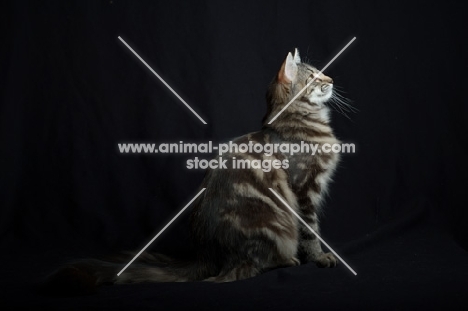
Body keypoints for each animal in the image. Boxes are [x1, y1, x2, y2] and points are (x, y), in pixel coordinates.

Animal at [44, 48, 344, 294]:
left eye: (321, 73)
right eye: (314, 76)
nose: (330, 80)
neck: (300, 122)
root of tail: (207, 257)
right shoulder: (303, 189)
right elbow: (310, 231)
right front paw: (320, 258)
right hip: (274, 226)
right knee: (253, 266)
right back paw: (287, 260)